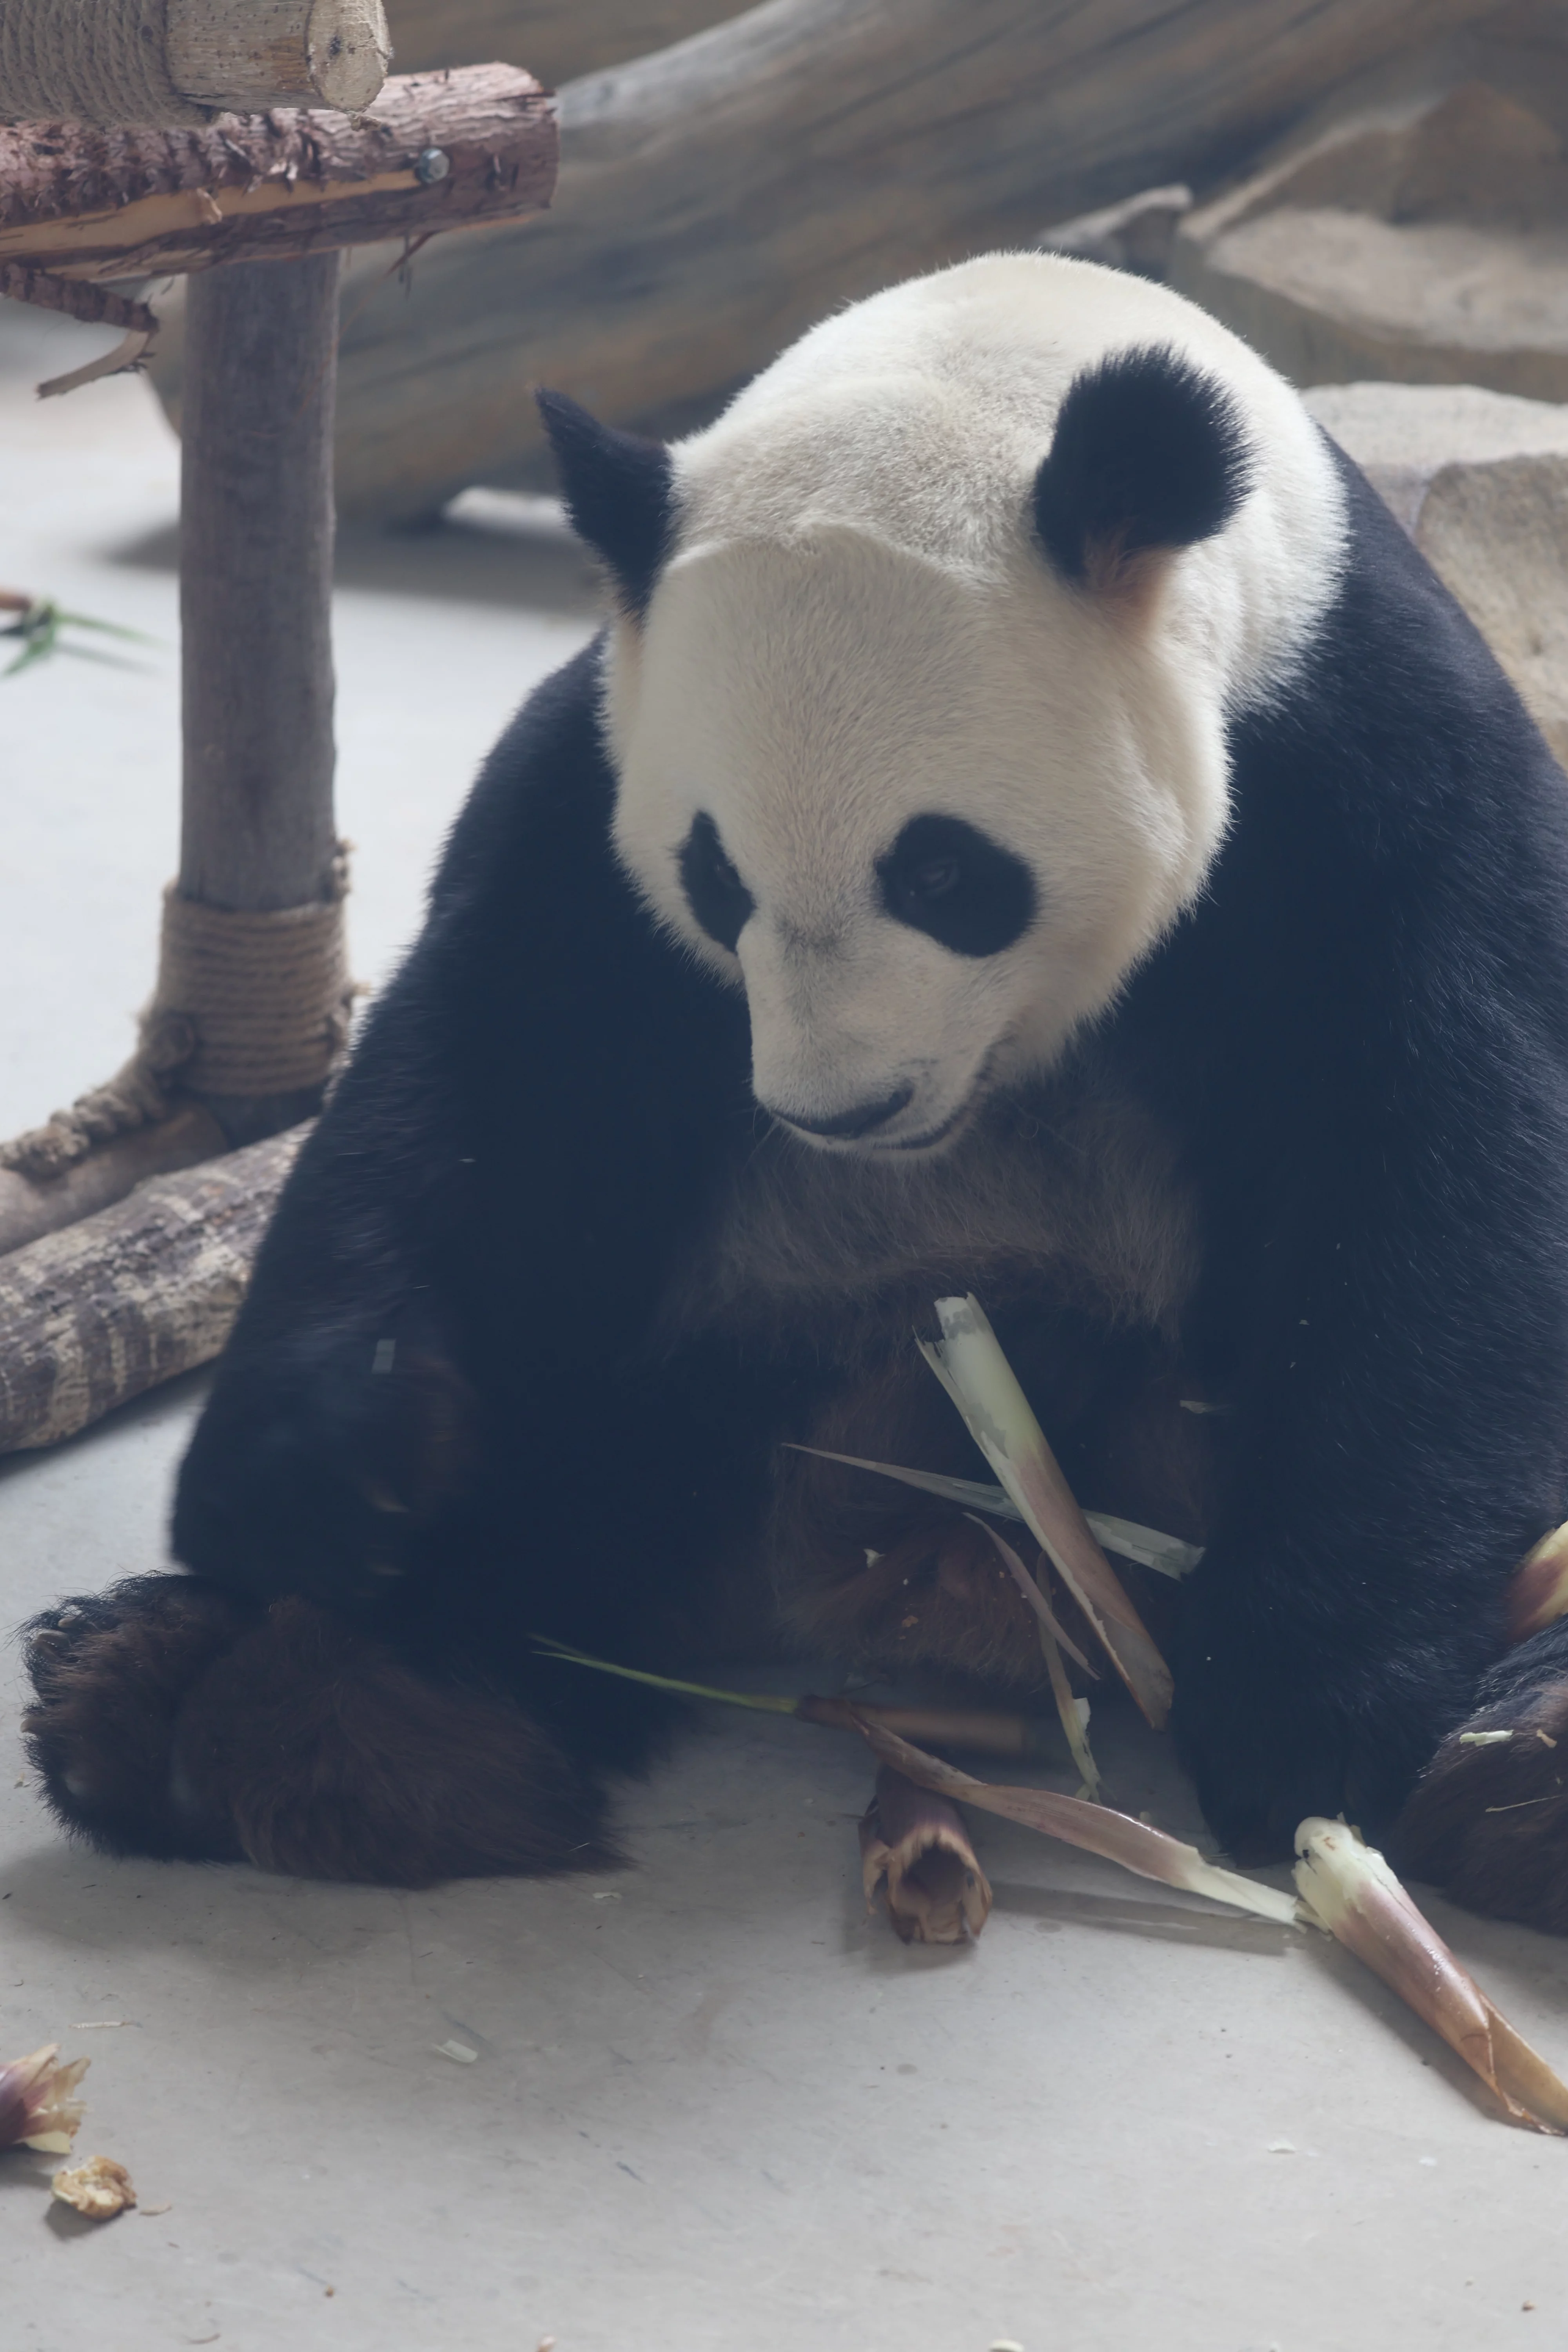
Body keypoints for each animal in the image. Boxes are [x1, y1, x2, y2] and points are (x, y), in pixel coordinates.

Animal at [24, 253, 1568, 1927]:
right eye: (717, 876)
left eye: (944, 872)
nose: (841, 1111)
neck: (1002, 354)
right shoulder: (593, 773)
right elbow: (471, 1088)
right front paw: (326, 1478)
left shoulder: (1361, 760)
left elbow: (1442, 1169)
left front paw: (1303, 1704)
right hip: (714, 1365)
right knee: (554, 1513)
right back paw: (234, 1708)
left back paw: (1509, 1776)